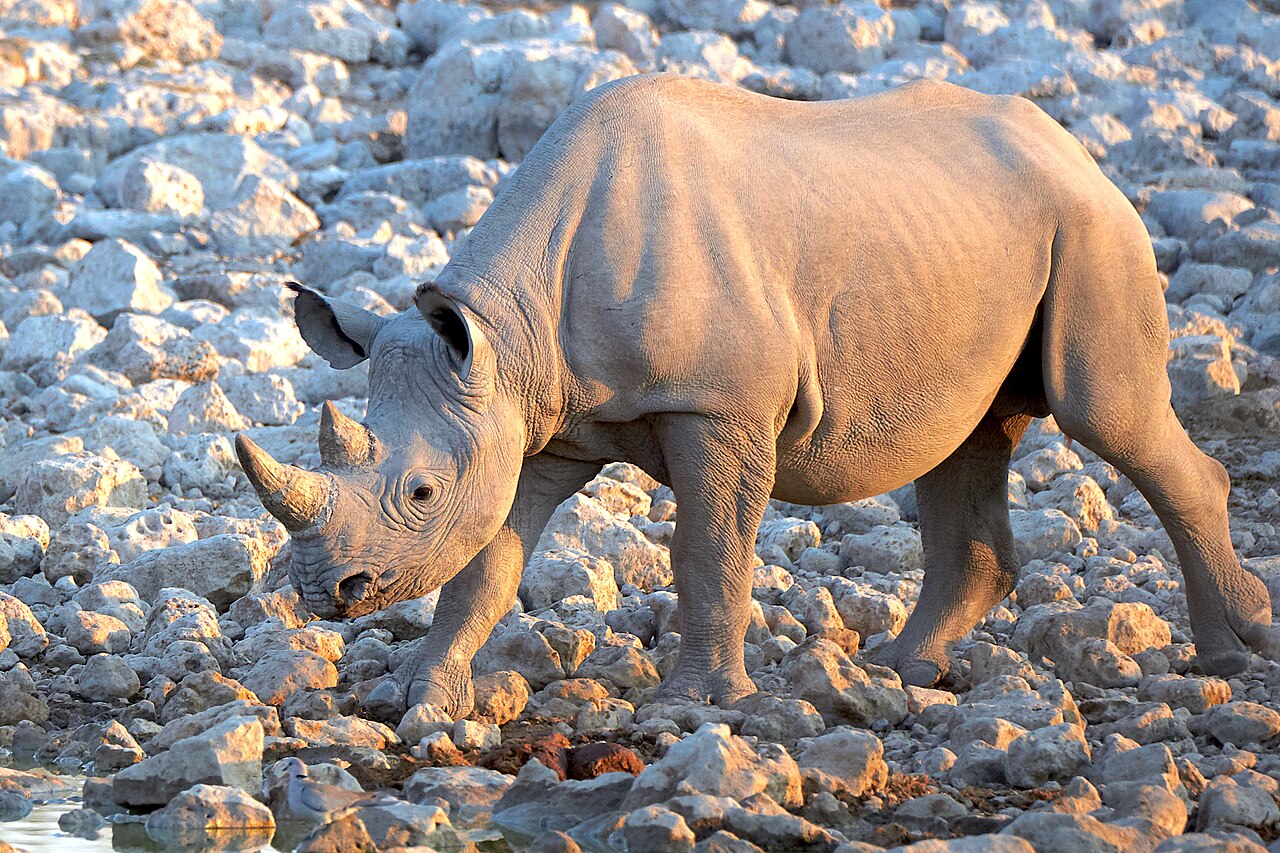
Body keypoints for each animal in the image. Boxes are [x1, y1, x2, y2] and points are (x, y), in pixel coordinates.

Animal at [237, 74, 1276, 719]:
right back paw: (899, 670)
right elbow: (486, 565)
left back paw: (1235, 655)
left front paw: (697, 704)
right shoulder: (529, 419)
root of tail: (1077, 150)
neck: (509, 327)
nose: (328, 594)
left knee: (1107, 415)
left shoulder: (719, 406)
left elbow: (709, 549)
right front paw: (420, 696)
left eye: (417, 492)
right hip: (985, 235)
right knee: (972, 437)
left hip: (1093, 227)